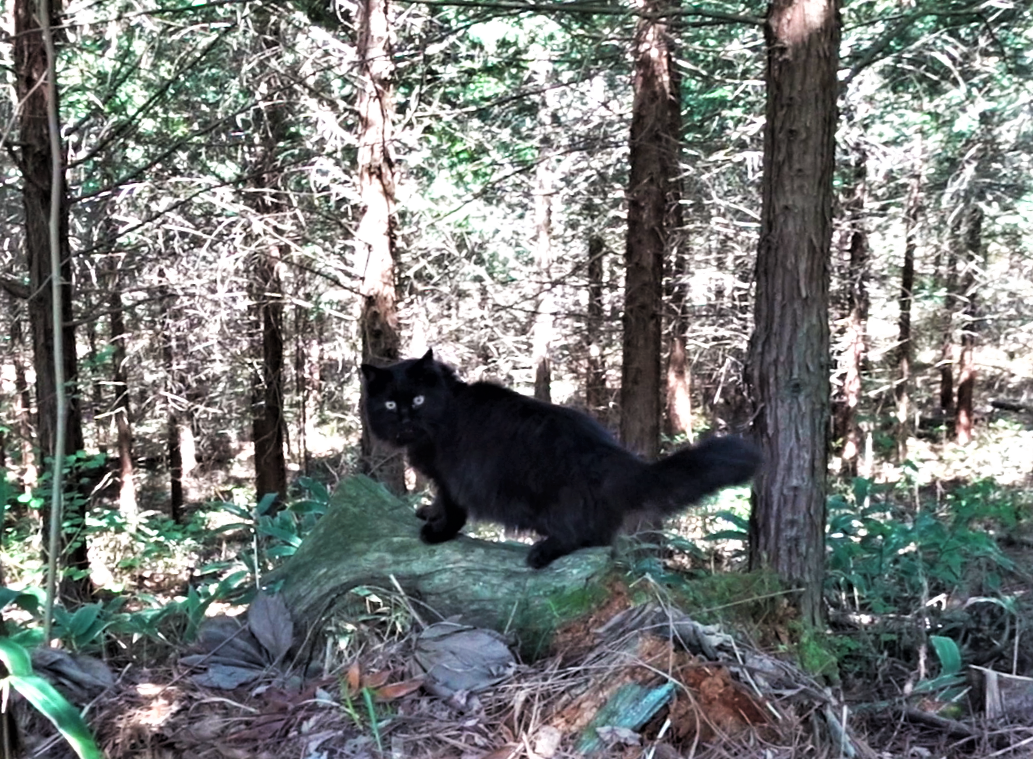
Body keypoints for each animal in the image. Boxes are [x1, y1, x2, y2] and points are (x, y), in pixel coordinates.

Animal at [361, 353, 760, 565]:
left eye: (418, 400)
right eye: (391, 404)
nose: (405, 419)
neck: (447, 407)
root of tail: (619, 460)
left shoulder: (451, 479)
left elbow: (453, 510)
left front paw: (437, 529)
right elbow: (437, 502)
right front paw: (428, 512)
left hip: (556, 502)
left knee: (582, 537)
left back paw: (542, 552)